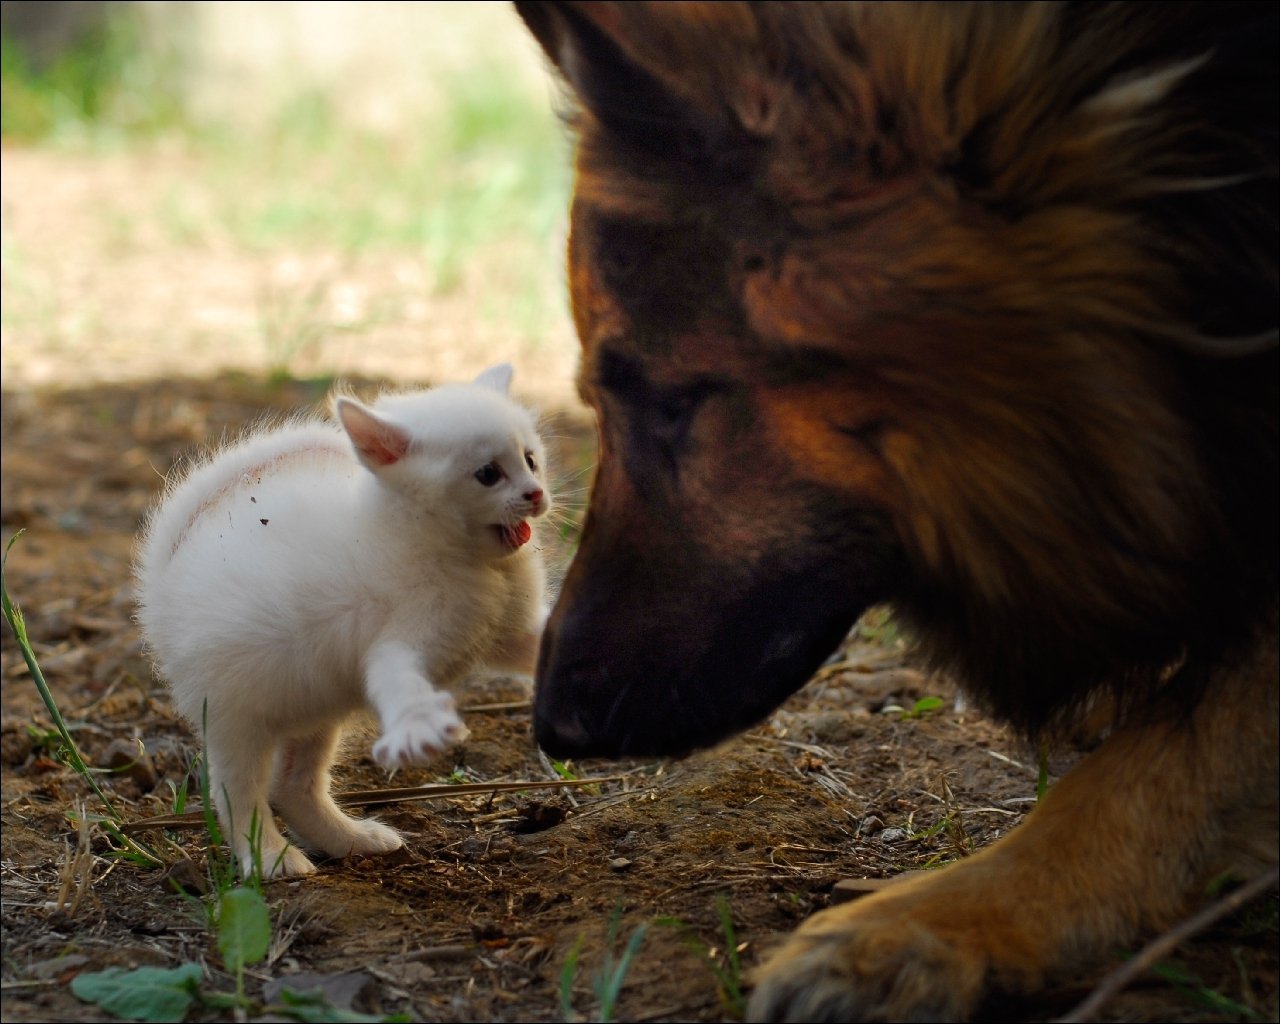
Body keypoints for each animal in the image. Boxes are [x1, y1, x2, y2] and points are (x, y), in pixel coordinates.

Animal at [137, 363, 552, 875]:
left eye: (531, 460)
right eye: (488, 474)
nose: (536, 493)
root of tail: (169, 565)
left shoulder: (511, 634)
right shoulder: (397, 648)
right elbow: (401, 685)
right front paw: (418, 726)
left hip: (313, 704)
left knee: (292, 786)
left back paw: (352, 840)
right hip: (236, 716)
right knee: (236, 792)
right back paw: (272, 858)